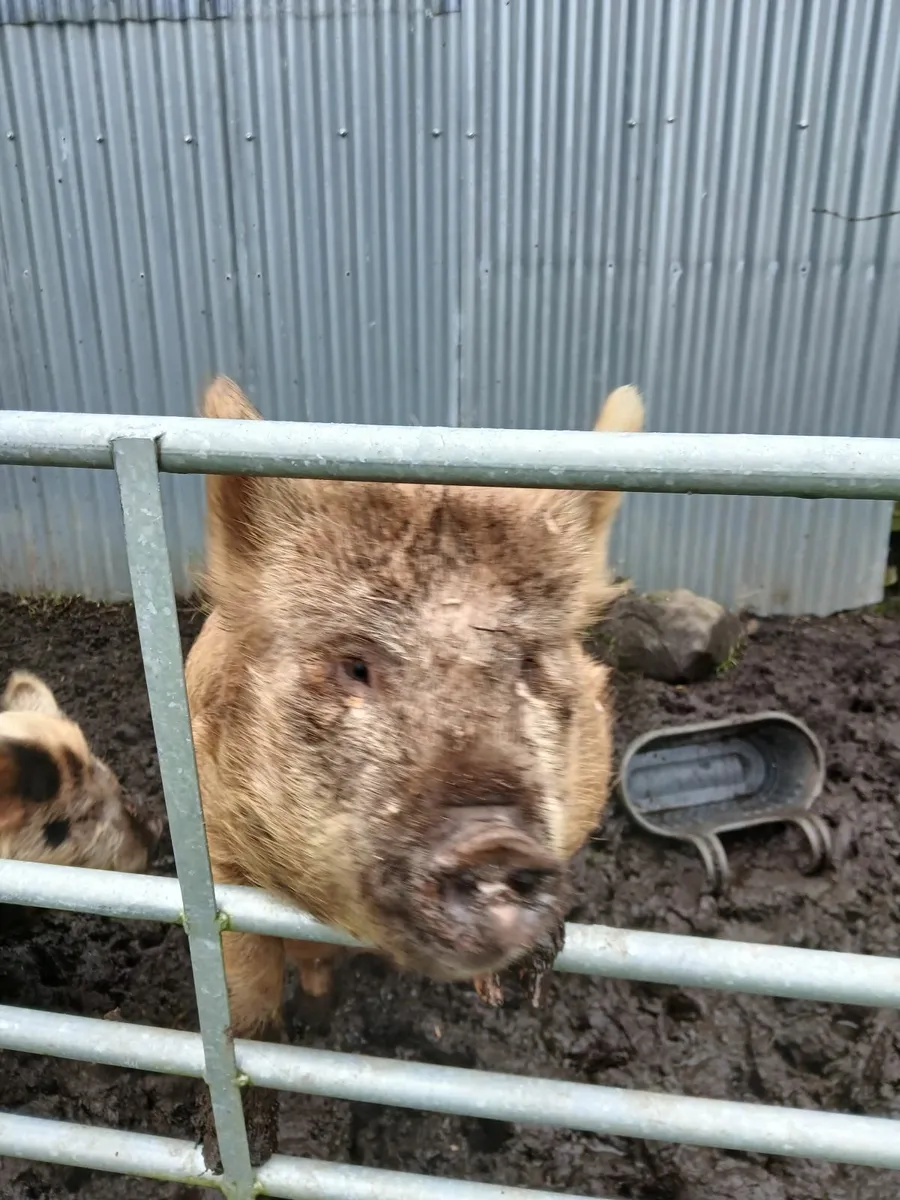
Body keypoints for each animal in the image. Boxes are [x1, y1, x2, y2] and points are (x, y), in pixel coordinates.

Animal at [185, 376, 642, 1166]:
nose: (493, 839)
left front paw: (519, 983)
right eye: (355, 666)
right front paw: (232, 1157)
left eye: (528, 664)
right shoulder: (216, 840)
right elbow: (246, 993)